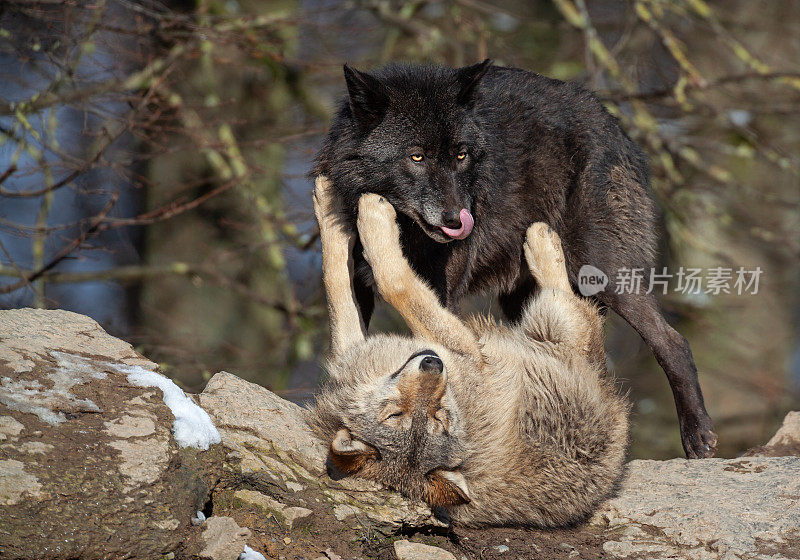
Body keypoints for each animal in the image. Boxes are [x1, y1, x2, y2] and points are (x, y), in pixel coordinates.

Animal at [312, 59, 720, 458]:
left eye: (461, 155)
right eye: (416, 156)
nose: (459, 220)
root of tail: (613, 123)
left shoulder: (443, 293)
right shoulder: (363, 290)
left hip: (601, 271)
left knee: (672, 342)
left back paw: (697, 436)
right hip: (523, 302)